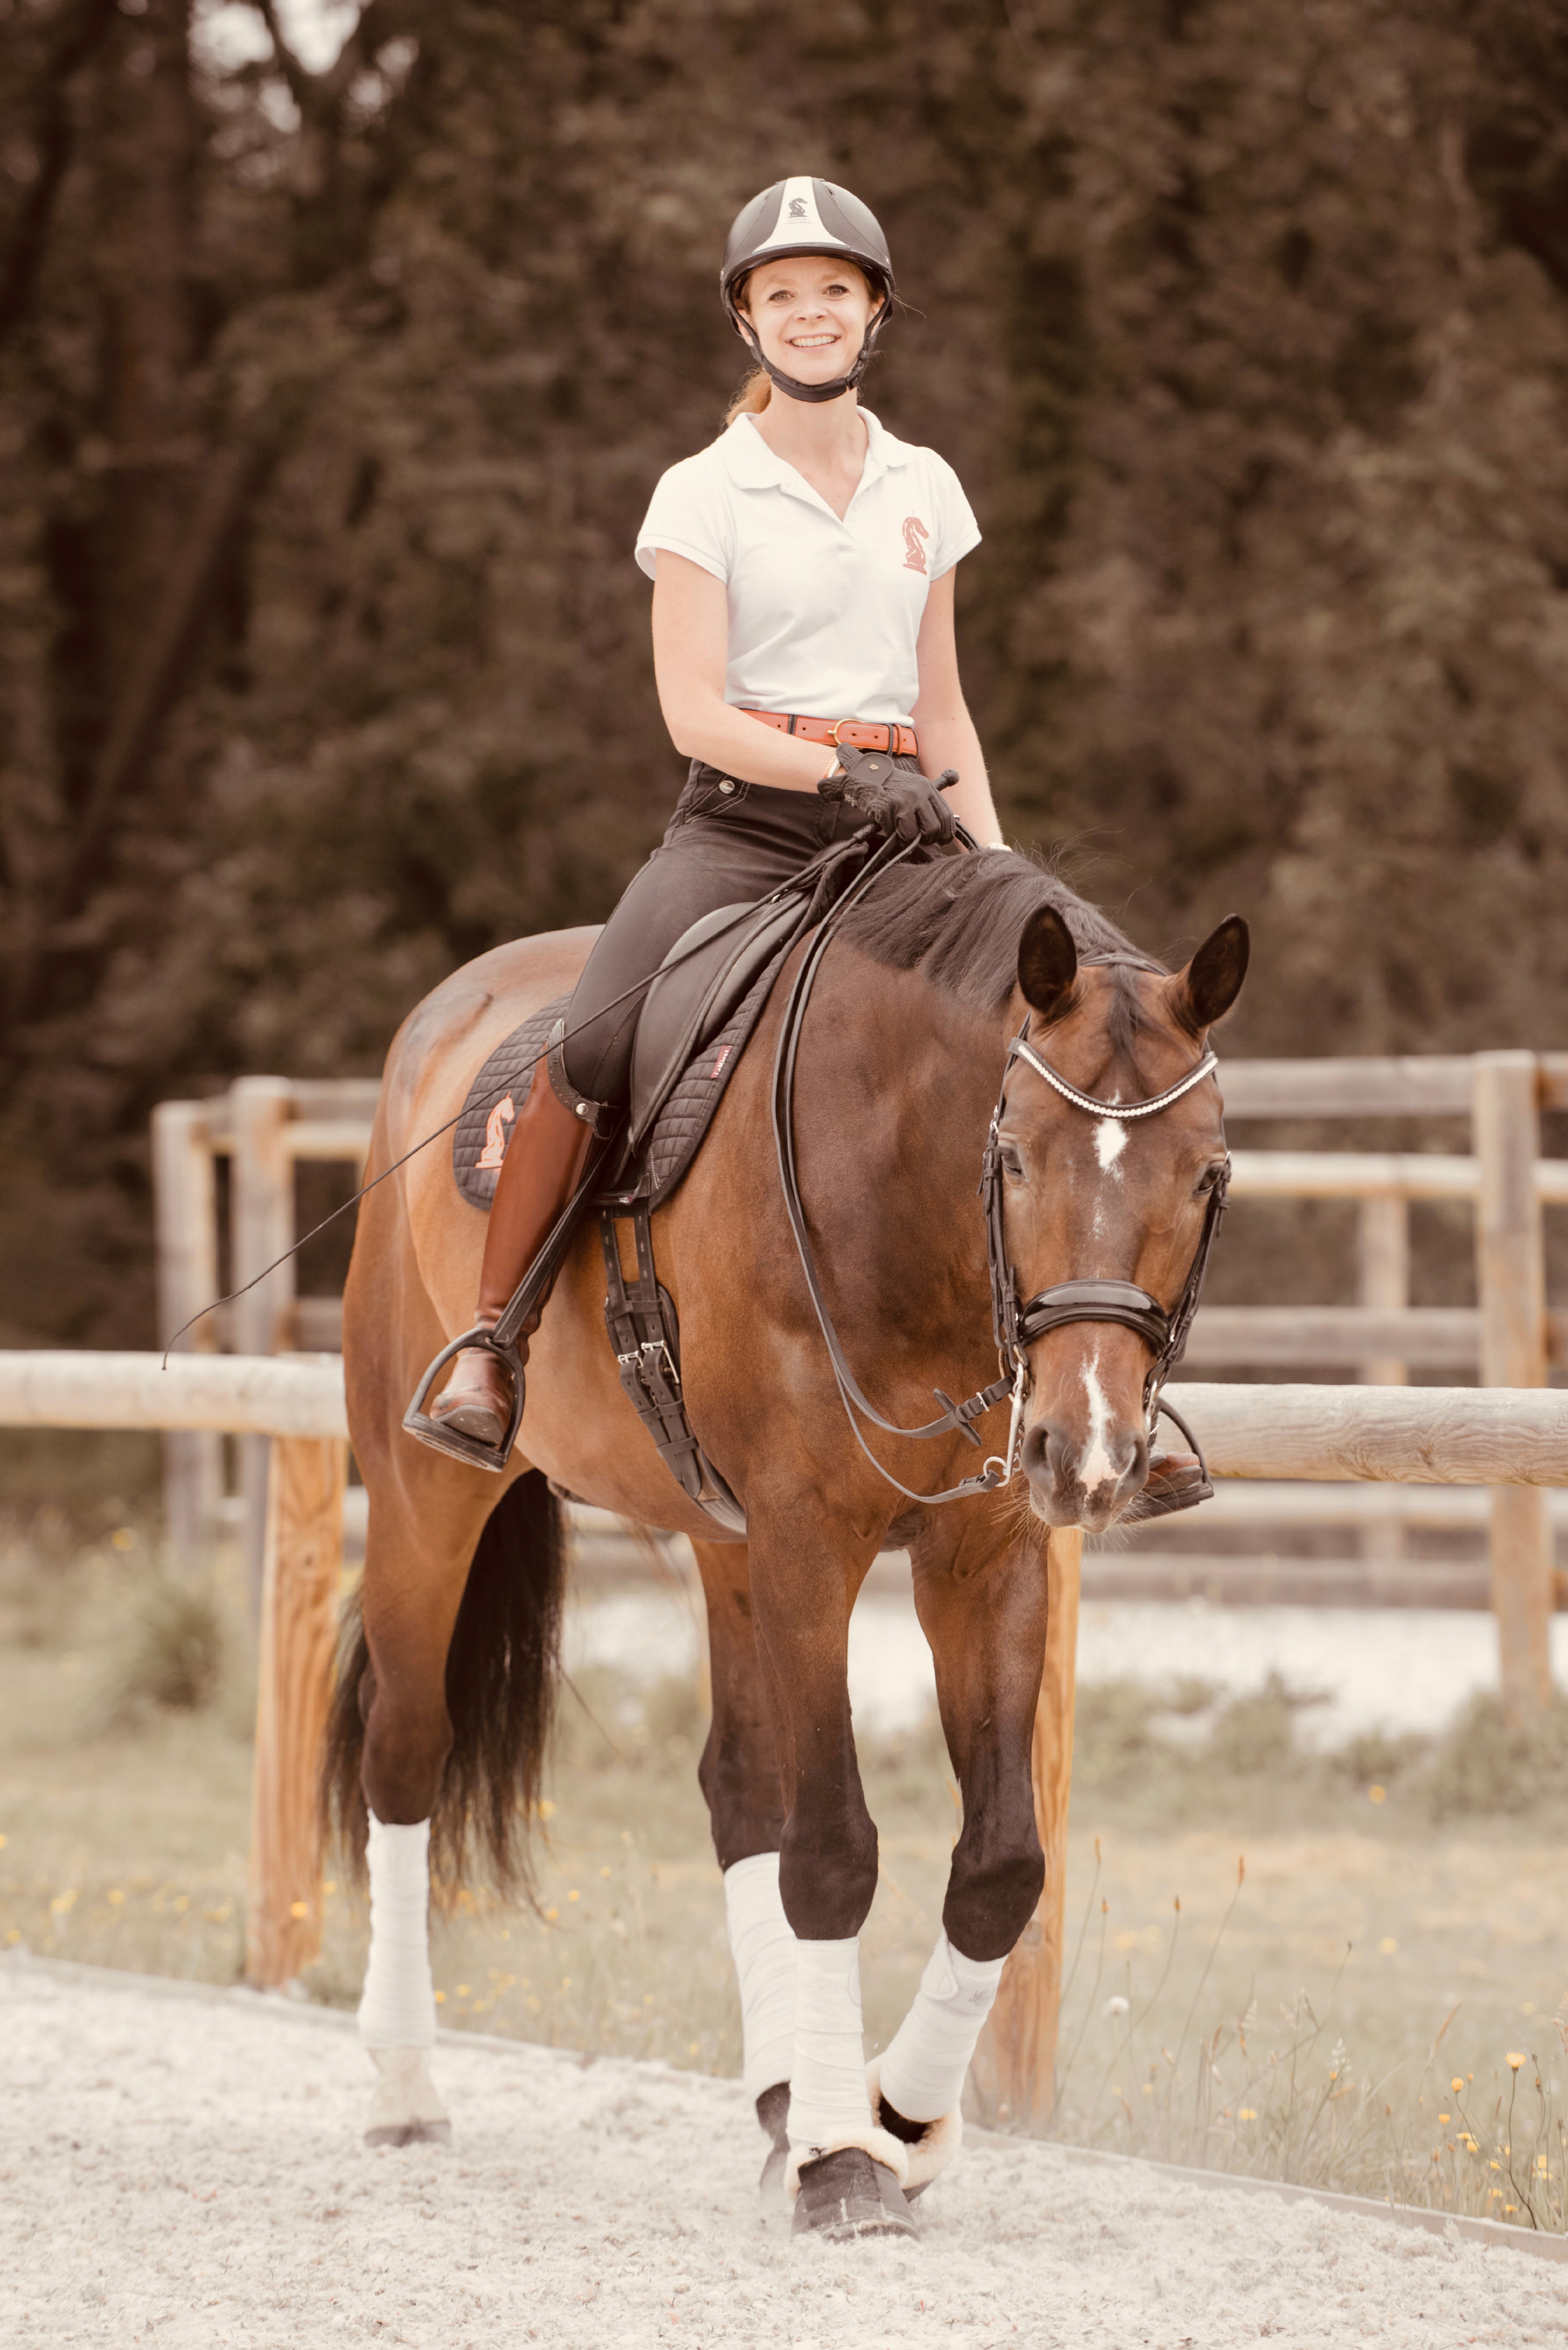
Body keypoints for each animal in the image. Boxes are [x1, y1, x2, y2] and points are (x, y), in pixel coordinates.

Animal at [327, 843, 1247, 2235]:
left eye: (1203, 1176)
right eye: (1013, 1158)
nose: (1085, 1449)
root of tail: (446, 1010)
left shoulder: (983, 1555)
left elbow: (997, 1865)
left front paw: (894, 2119)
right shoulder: (811, 1540)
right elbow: (831, 1852)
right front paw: (841, 2165)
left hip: (729, 1545)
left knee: (736, 1788)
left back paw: (777, 2098)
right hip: (426, 1492)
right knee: (406, 1752)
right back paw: (402, 2089)